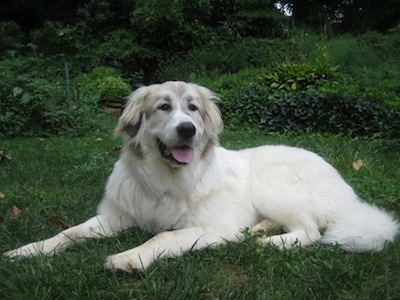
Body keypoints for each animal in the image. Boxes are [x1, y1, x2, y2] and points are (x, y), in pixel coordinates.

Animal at [4, 80, 398, 272]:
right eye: (164, 107)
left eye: (193, 109)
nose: (188, 129)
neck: (165, 179)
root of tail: (344, 186)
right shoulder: (117, 216)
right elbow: (68, 232)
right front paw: (27, 250)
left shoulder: (213, 227)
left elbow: (162, 236)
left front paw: (128, 258)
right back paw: (261, 229)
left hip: (273, 188)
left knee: (311, 231)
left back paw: (266, 242)